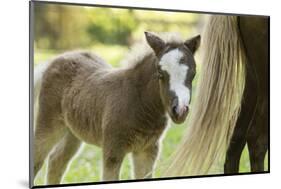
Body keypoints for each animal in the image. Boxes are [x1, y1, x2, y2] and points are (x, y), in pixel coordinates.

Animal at [32, 31, 199, 184]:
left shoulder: (148, 150)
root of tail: (54, 60)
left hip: (73, 132)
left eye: (193, 74)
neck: (139, 102)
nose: (180, 110)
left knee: (56, 161)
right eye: (160, 73)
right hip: (49, 123)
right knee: (38, 161)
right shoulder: (113, 149)